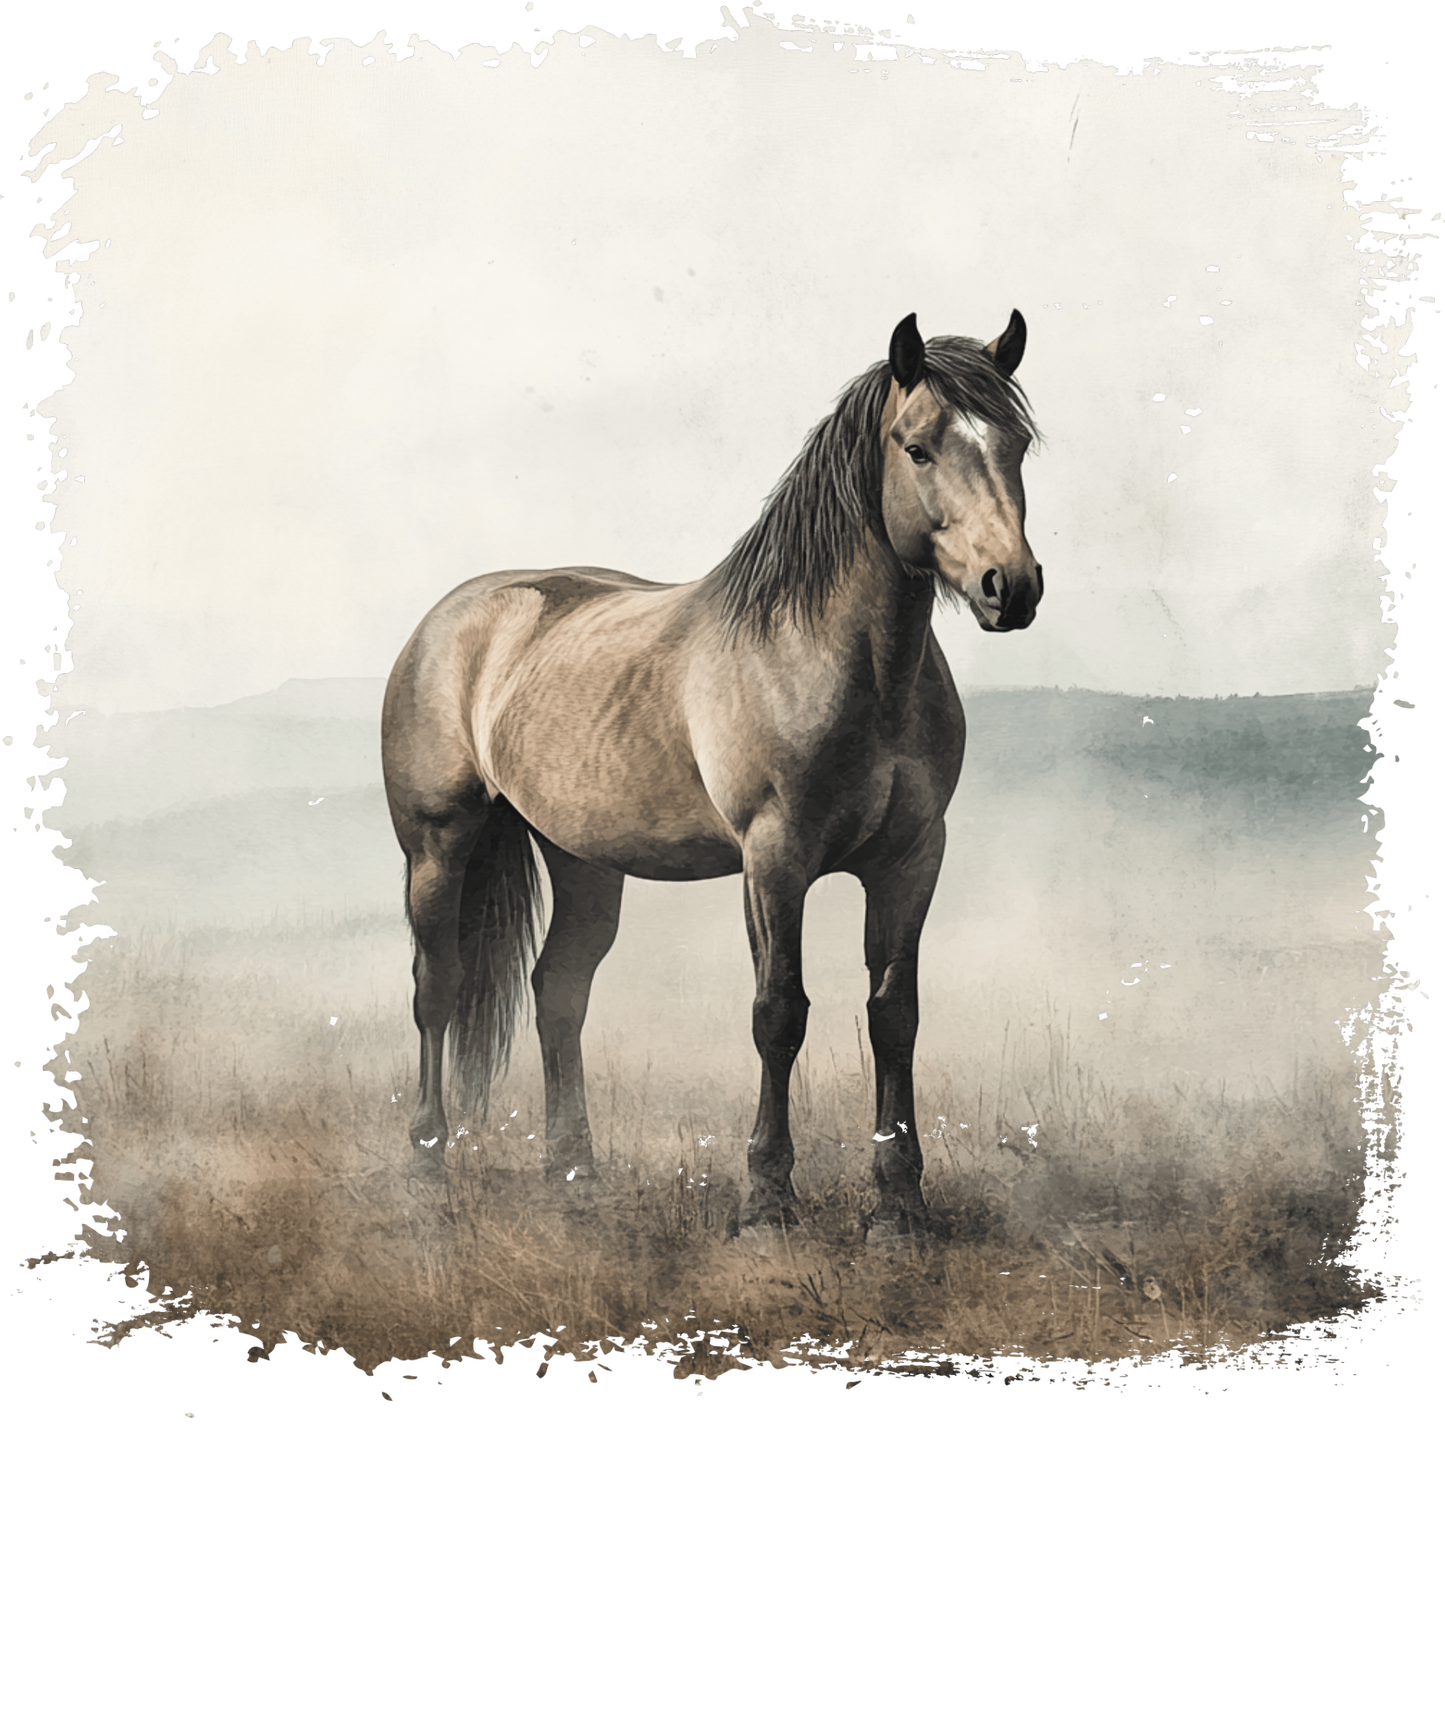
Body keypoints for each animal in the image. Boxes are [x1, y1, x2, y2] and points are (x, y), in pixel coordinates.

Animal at [381, 311, 1043, 1239]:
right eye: (916, 448)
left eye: (1016, 444)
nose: (1008, 588)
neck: (840, 665)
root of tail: (452, 616)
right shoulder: (774, 859)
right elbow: (779, 1013)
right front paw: (766, 1203)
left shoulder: (911, 858)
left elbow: (893, 1016)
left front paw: (899, 1209)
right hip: (437, 846)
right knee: (435, 989)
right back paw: (423, 1169)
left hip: (583, 859)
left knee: (559, 990)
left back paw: (574, 1172)